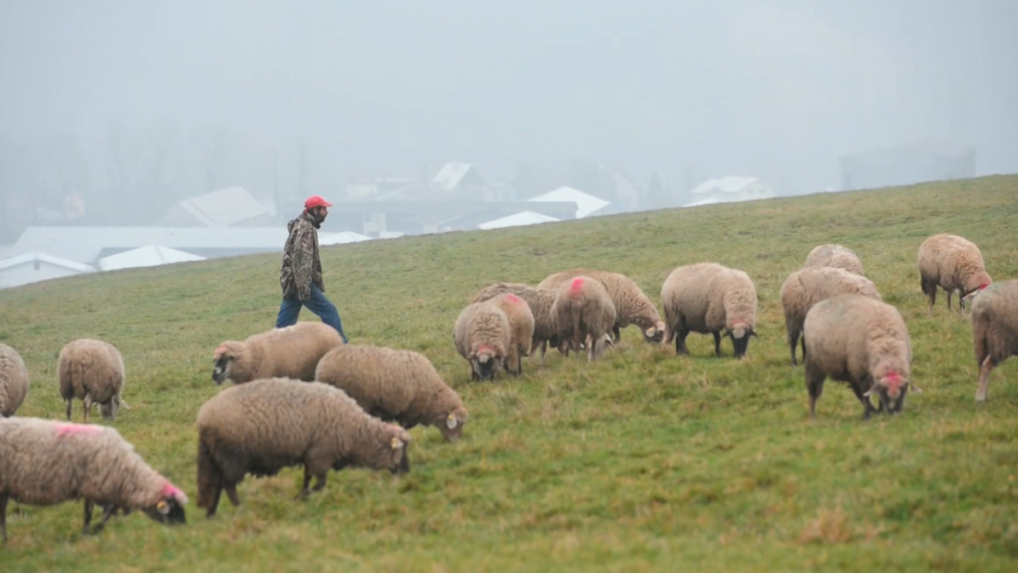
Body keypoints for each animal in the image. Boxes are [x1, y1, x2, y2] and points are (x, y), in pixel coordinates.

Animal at [0, 417, 187, 541]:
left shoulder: (96, 487)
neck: (129, 474)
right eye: (175, 509)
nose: (185, 530)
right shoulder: (97, 483)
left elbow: (99, 512)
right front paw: (91, 532)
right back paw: (5, 541)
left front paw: (90, 531)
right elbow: (96, 513)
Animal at [194, 378, 409, 517]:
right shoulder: (320, 455)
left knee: (215, 484)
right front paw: (301, 497)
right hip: (233, 457)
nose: (407, 473)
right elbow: (319, 483)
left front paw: (301, 495)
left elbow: (307, 478)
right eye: (402, 450)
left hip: (215, 458)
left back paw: (211, 513)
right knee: (228, 486)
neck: (356, 431)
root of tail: (204, 416)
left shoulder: (310, 454)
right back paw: (240, 509)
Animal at [313, 344, 468, 441]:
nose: (457, 442)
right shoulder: (408, 410)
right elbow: (404, 426)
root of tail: (323, 367)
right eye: (458, 423)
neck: (433, 395)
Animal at [533, 268, 667, 346]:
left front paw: (616, 342)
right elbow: (612, 333)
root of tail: (540, 285)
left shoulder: (615, 318)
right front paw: (612, 343)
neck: (628, 298)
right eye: (658, 335)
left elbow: (616, 332)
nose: (660, 347)